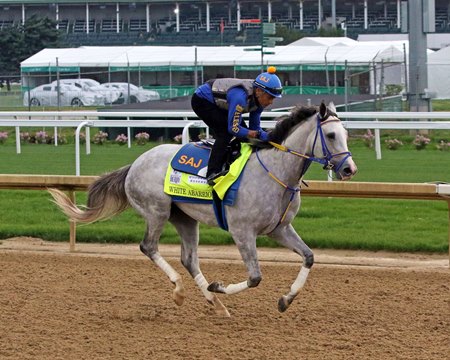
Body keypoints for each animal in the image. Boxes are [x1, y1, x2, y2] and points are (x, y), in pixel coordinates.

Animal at [49, 102, 356, 316]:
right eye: (331, 135)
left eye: (346, 133)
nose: (349, 169)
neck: (275, 172)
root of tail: (134, 164)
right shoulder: (242, 231)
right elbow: (255, 277)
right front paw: (218, 285)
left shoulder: (279, 228)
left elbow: (309, 257)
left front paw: (285, 299)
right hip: (157, 211)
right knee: (149, 247)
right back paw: (180, 290)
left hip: (185, 218)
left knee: (189, 259)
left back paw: (215, 303)